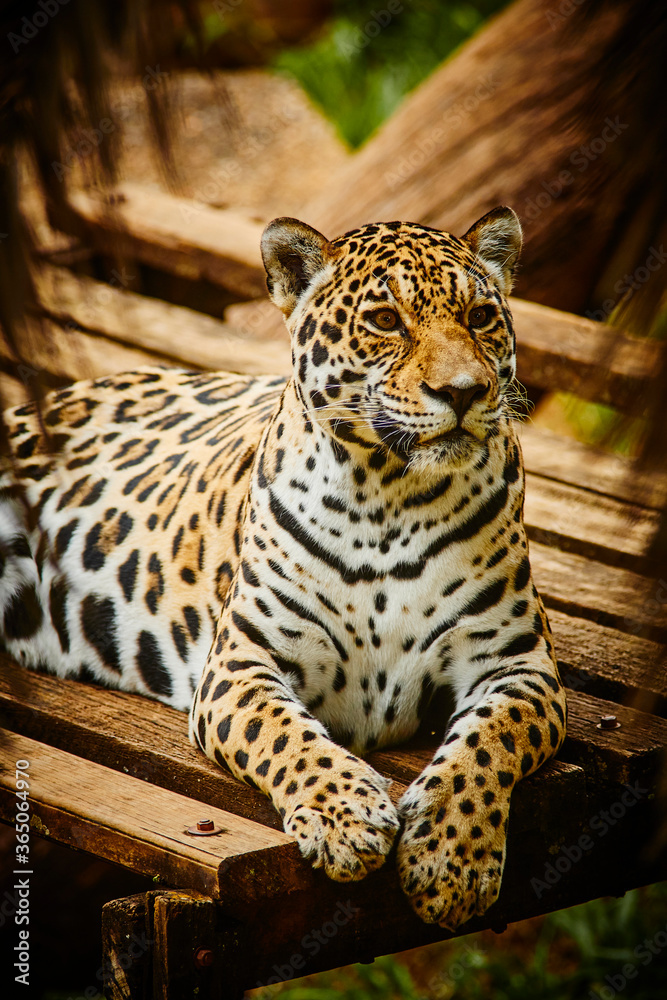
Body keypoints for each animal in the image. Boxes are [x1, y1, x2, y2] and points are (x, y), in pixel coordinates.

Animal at [0, 206, 566, 930]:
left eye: (480, 316)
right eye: (386, 320)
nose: (464, 392)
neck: (391, 498)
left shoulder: (518, 666)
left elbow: (485, 747)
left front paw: (451, 859)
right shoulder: (240, 665)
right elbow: (286, 737)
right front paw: (346, 817)